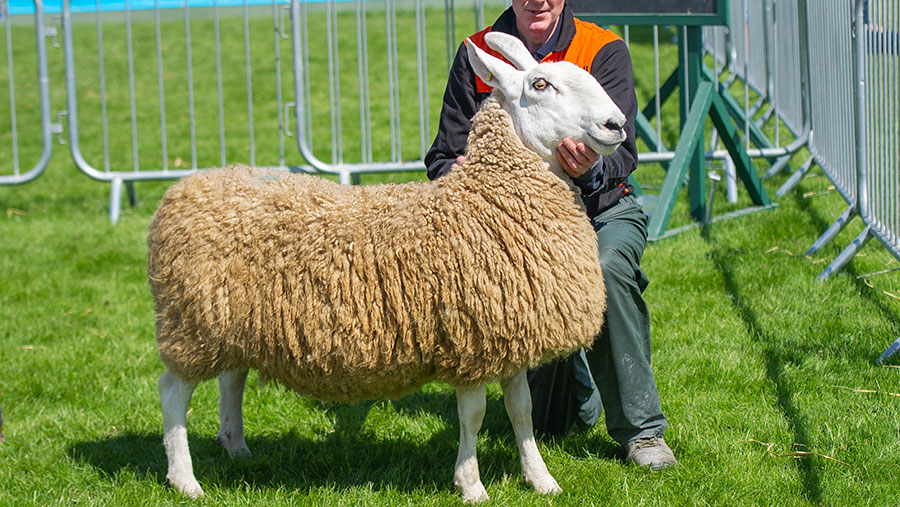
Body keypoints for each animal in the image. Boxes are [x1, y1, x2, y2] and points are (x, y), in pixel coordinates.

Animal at [149, 31, 624, 504]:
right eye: (541, 85)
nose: (617, 124)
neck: (485, 199)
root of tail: (186, 187)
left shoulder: (506, 335)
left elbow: (520, 411)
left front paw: (540, 479)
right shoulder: (469, 338)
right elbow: (473, 415)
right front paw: (470, 485)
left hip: (231, 319)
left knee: (231, 380)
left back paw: (237, 448)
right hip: (190, 323)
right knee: (172, 394)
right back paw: (185, 479)